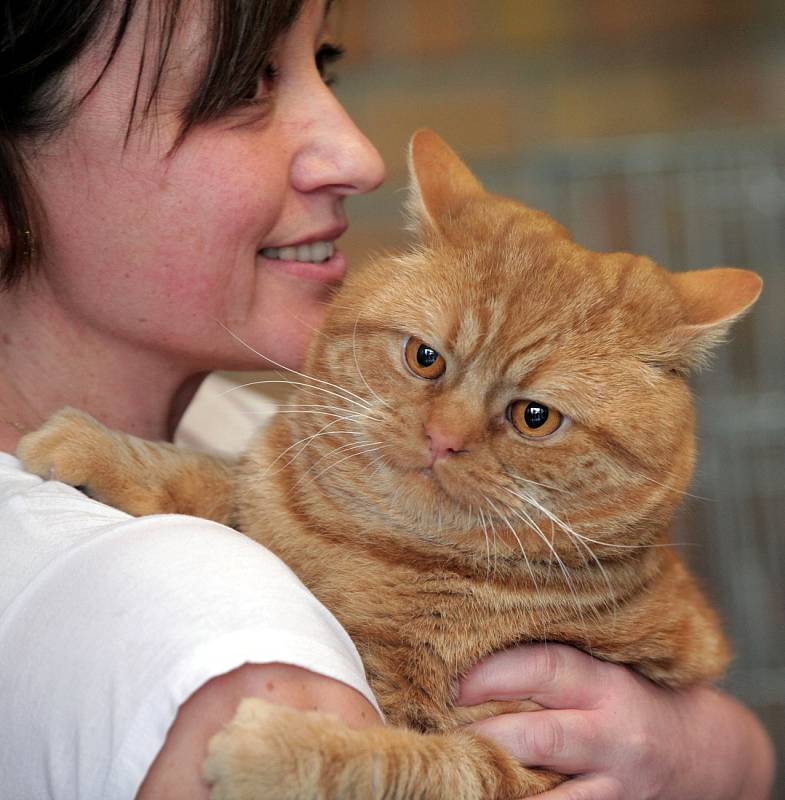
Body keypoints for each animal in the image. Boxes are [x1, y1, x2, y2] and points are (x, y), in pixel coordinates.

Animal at [21, 128, 764, 796]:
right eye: (424, 358)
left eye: (534, 417)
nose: (443, 437)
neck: (383, 551)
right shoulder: (261, 496)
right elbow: (208, 472)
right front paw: (90, 443)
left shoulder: (523, 756)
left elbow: (406, 765)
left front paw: (274, 752)